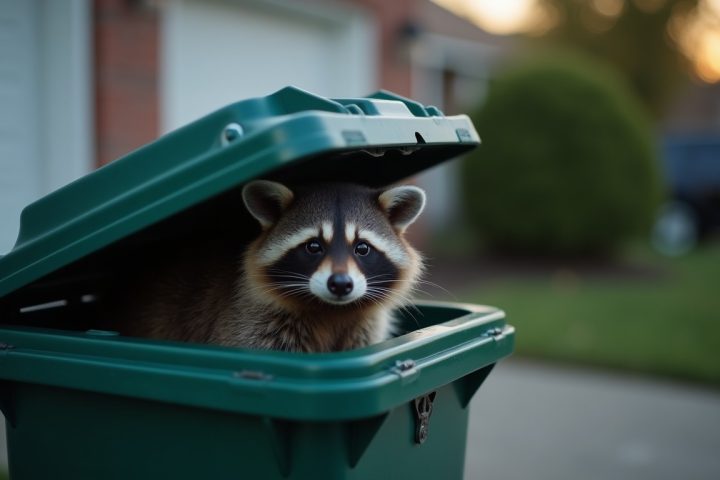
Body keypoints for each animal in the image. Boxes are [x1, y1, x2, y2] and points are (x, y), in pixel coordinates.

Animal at [117, 180, 426, 353]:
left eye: (362, 248)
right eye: (313, 246)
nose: (340, 284)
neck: (331, 311)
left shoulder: (364, 330)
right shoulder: (250, 325)